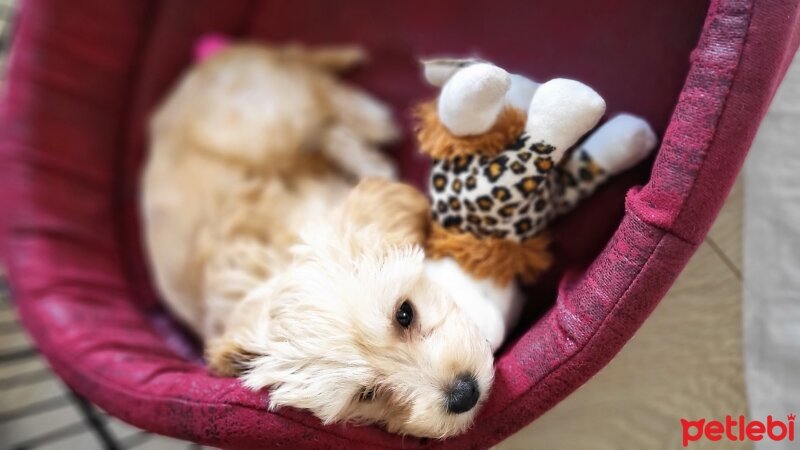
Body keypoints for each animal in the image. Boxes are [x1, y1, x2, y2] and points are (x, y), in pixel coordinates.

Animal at [143, 44, 494, 438]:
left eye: (404, 313)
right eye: (367, 394)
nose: (464, 394)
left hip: (276, 121)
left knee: (320, 93)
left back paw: (368, 121)